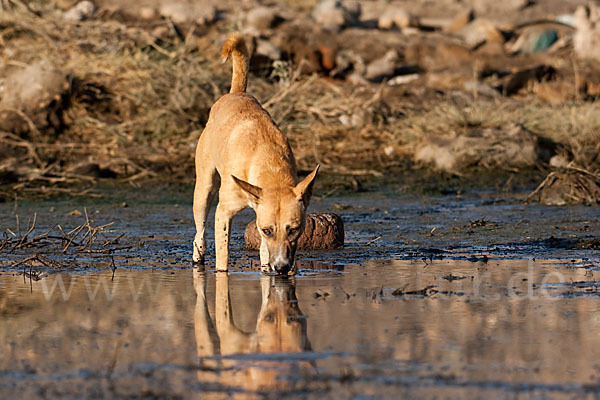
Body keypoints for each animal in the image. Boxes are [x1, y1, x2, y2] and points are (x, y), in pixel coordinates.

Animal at [192, 32, 318, 274]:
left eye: (294, 229)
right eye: (268, 230)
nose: (282, 268)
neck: (270, 163)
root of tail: (236, 92)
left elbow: (266, 255)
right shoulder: (224, 213)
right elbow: (223, 258)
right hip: (204, 189)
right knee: (199, 230)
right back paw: (198, 255)